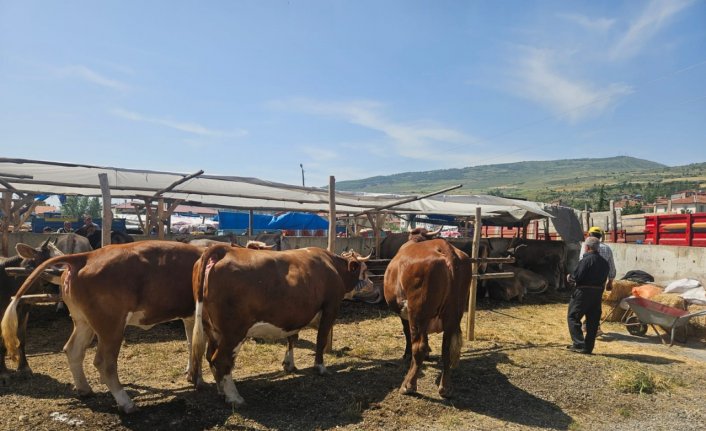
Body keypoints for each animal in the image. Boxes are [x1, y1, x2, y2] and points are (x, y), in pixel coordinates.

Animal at [0, 241, 204, 414]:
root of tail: (87, 256)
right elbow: (199, 346)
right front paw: (199, 379)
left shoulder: (189, 316)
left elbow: (191, 344)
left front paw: (193, 375)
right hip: (111, 326)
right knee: (104, 362)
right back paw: (126, 403)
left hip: (83, 322)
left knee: (73, 350)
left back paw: (84, 389)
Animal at [187, 245, 374, 406]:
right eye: (364, 270)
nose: (373, 285)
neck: (333, 266)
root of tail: (223, 249)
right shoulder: (330, 308)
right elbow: (320, 340)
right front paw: (320, 367)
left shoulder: (294, 316)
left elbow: (292, 338)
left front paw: (289, 364)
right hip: (233, 332)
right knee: (221, 359)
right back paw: (234, 397)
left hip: (212, 330)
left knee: (210, 356)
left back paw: (221, 392)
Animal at [382, 236, 470, 398]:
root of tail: (444, 246)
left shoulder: (405, 314)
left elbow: (407, 333)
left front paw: (407, 354)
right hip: (453, 313)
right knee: (446, 349)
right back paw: (445, 387)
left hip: (418, 313)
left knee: (418, 346)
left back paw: (408, 385)